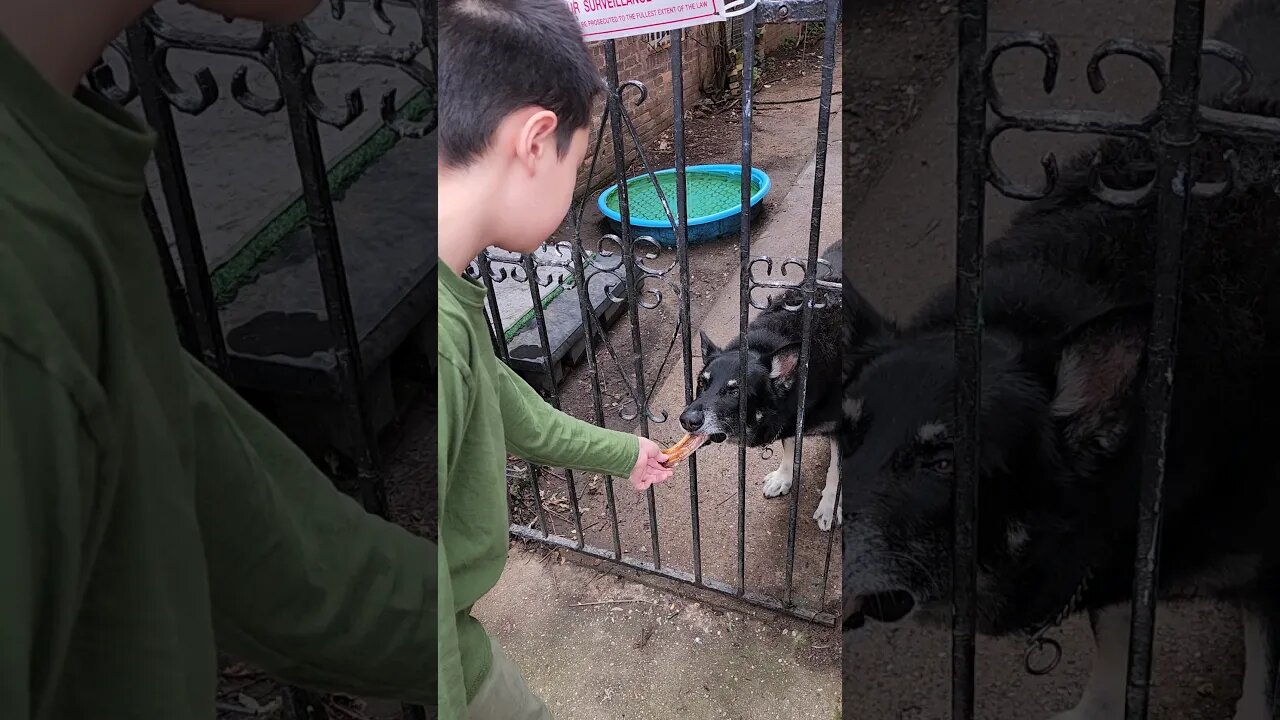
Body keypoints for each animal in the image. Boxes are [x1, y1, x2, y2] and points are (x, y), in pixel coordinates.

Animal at [675, 240, 844, 527]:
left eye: (735, 390)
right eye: (702, 383)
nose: (687, 420)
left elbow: (835, 471)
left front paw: (831, 506)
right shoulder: (789, 419)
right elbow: (789, 445)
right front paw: (784, 477)